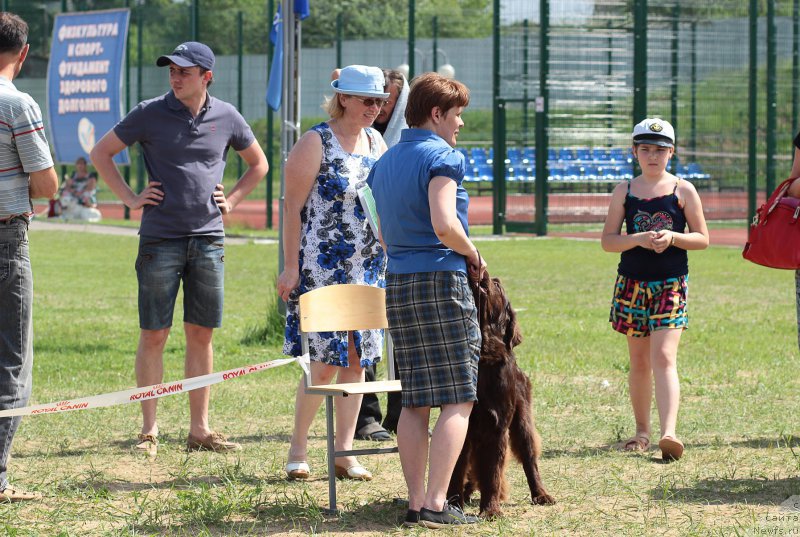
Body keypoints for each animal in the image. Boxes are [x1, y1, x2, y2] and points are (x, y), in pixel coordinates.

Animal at [446, 272, 552, 516]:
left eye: (496, 285)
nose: (483, 273)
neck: (484, 353)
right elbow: (457, 470)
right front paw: (454, 504)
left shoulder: (497, 427)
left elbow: (492, 473)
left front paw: (490, 510)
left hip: (522, 422)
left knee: (529, 459)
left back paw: (541, 494)